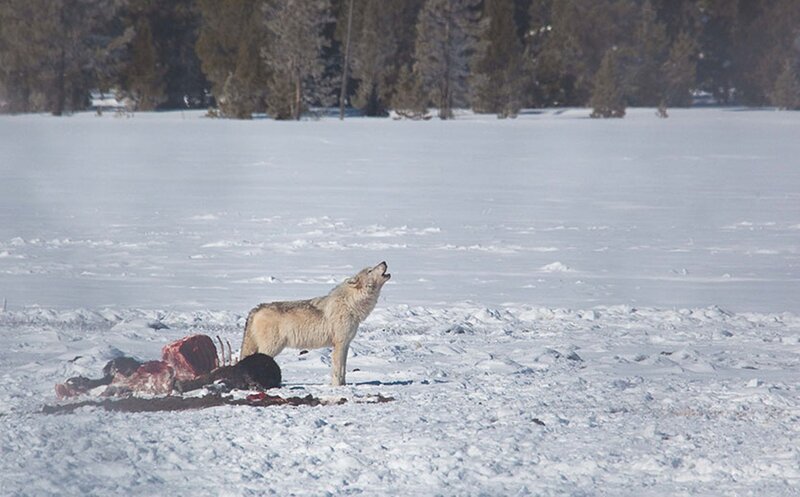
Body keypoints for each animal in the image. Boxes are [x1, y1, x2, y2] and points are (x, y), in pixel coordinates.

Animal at [240, 262, 391, 386]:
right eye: (370, 270)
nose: (384, 262)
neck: (350, 304)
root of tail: (256, 309)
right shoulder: (339, 344)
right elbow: (337, 370)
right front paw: (337, 386)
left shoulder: (346, 344)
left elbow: (343, 370)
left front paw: (343, 386)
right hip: (271, 348)